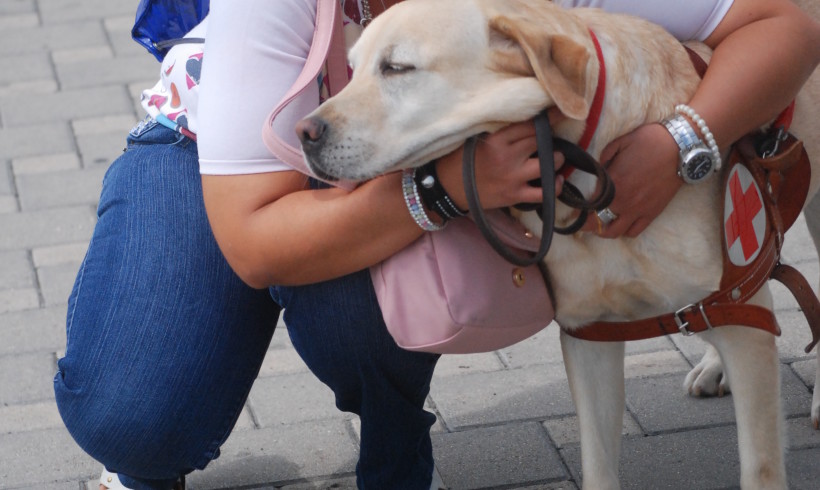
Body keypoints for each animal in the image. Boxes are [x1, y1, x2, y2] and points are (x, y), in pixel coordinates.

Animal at [298, 0, 816, 486]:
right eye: (353, 66)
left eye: (397, 67)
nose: (304, 133)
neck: (582, 178)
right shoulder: (591, 332)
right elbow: (598, 466)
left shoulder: (742, 312)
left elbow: (761, 466)